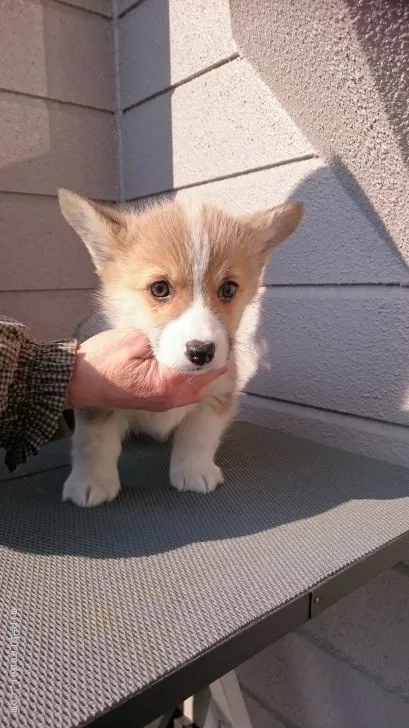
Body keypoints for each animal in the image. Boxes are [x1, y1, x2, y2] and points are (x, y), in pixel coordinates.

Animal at [59, 192, 302, 506]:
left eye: (228, 289)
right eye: (160, 288)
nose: (201, 352)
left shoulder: (216, 396)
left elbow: (199, 438)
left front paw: (194, 472)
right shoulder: (98, 401)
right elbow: (94, 443)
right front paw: (91, 483)